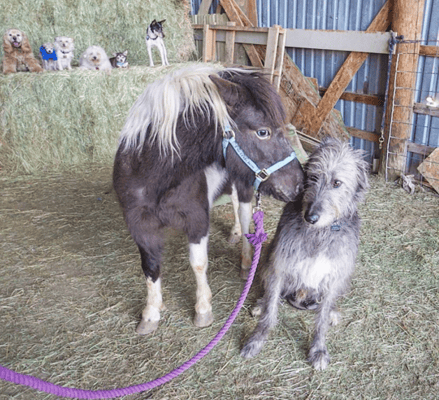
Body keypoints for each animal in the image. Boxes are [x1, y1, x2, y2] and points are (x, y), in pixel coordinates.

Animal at [242, 137, 370, 368]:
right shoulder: (279, 265)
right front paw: (257, 338)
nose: (310, 217)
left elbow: (321, 319)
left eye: (337, 183)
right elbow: (270, 310)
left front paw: (318, 348)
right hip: (266, 259)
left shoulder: (334, 275)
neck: (319, 233)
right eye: (313, 177)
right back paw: (260, 303)